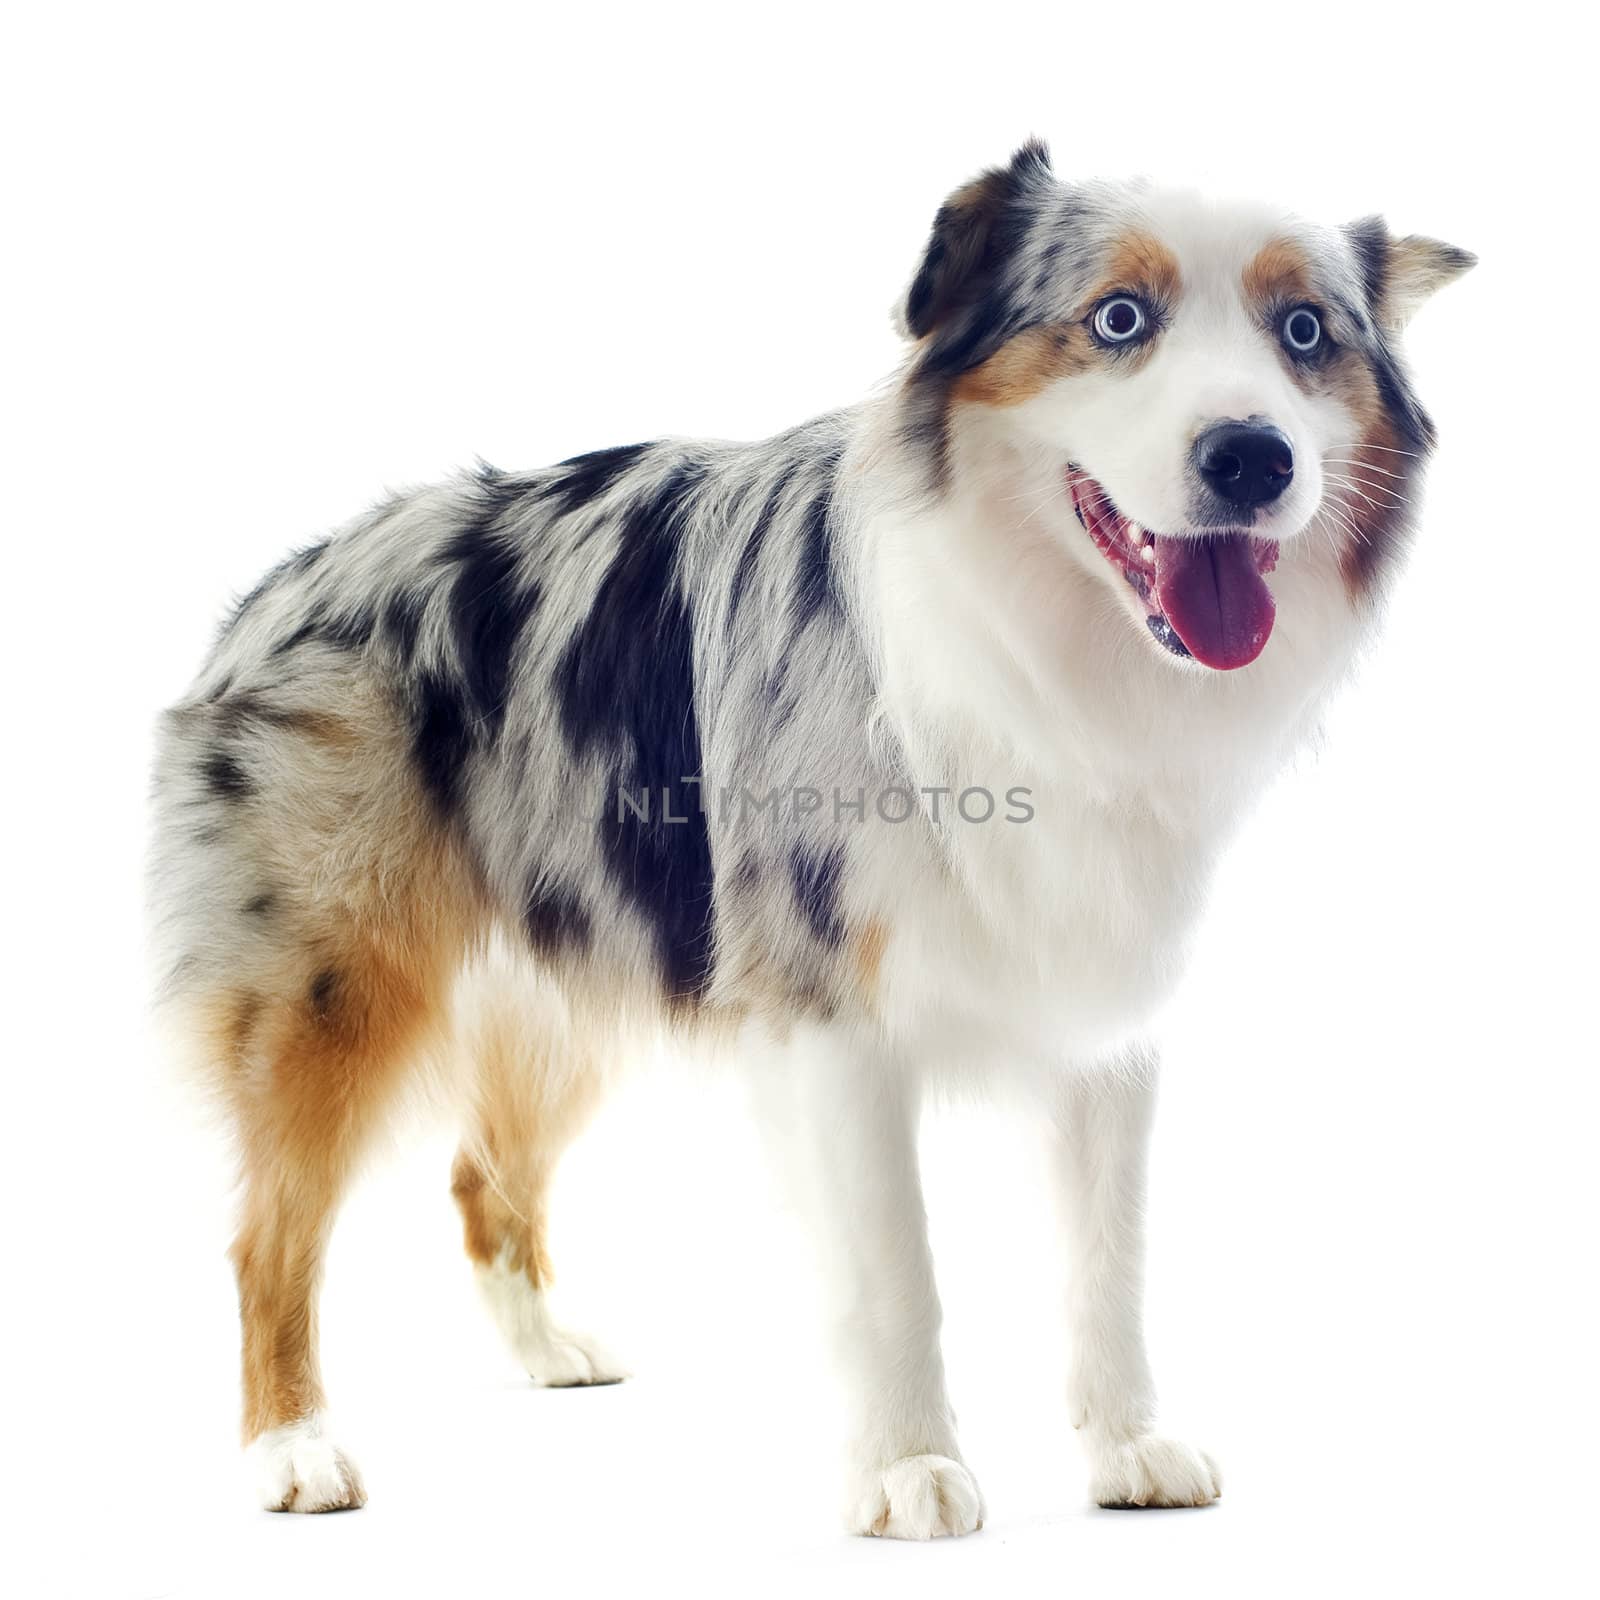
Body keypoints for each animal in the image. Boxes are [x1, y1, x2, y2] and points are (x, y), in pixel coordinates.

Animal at [152, 147, 1472, 1536]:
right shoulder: (825, 1001)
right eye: (1119, 318)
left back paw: (551, 1347)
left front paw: (1127, 1443)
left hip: (573, 969)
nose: (1252, 458)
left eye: (1305, 332)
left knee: (478, 1176)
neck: (1045, 652)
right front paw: (906, 1467)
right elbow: (895, 1266)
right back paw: (293, 1447)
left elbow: (1108, 1258)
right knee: (263, 1236)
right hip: (331, 983)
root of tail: (280, 581)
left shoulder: (1103, 1010)